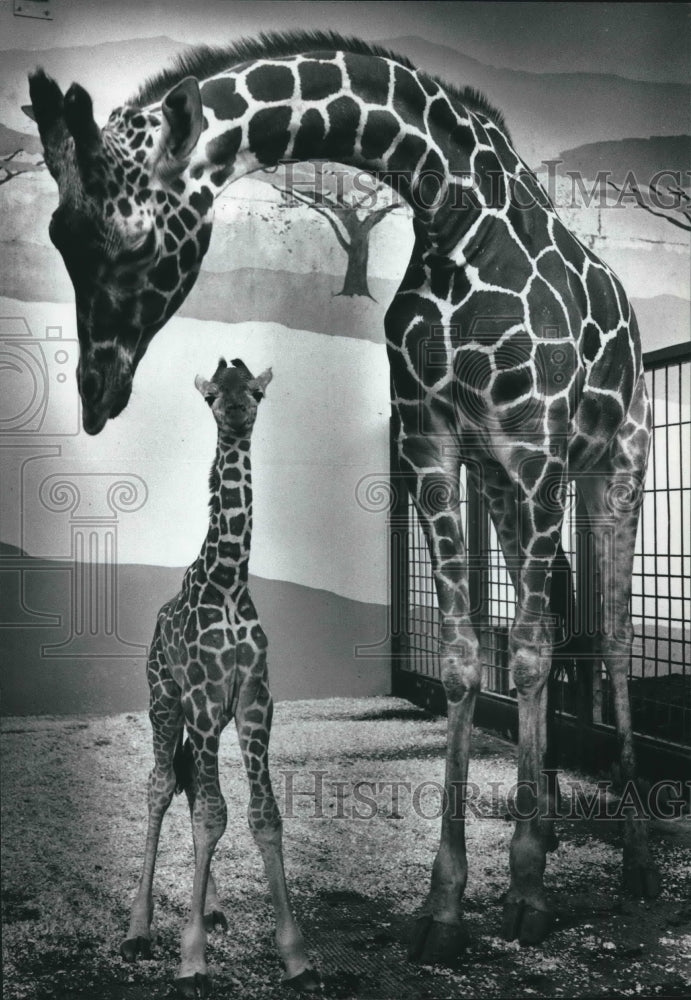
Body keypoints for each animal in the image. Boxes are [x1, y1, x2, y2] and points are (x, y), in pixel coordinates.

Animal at [122, 362, 318, 1000]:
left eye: (255, 391)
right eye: (212, 396)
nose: (236, 413)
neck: (230, 580)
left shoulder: (255, 701)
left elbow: (261, 815)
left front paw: (295, 956)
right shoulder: (205, 701)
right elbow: (213, 814)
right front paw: (191, 962)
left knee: (187, 782)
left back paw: (209, 910)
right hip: (164, 702)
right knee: (162, 785)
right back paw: (138, 930)